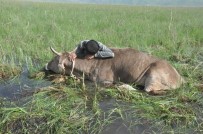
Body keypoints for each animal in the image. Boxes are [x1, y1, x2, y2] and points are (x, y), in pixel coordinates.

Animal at [45, 47, 184, 93]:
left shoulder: (104, 81)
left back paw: (124, 86)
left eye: (54, 59)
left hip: (154, 75)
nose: (45, 65)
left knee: (147, 90)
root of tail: (180, 78)